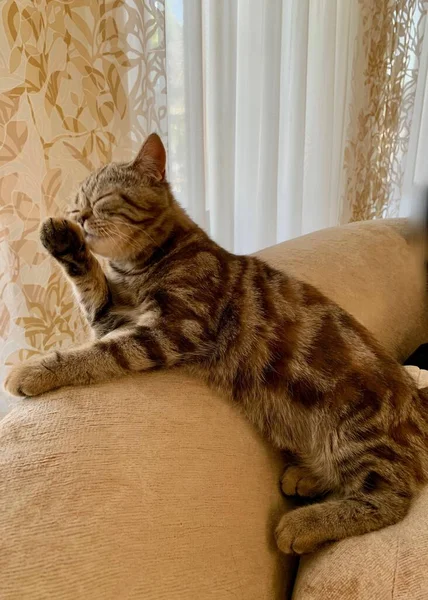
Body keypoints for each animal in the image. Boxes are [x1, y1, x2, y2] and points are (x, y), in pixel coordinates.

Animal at [4, 135, 428, 552]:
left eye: (103, 199)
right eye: (76, 205)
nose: (79, 217)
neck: (139, 268)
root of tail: (417, 401)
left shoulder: (173, 329)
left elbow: (97, 354)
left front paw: (33, 370)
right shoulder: (111, 316)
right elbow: (89, 283)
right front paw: (64, 242)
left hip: (358, 436)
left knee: (389, 500)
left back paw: (304, 523)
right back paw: (307, 478)